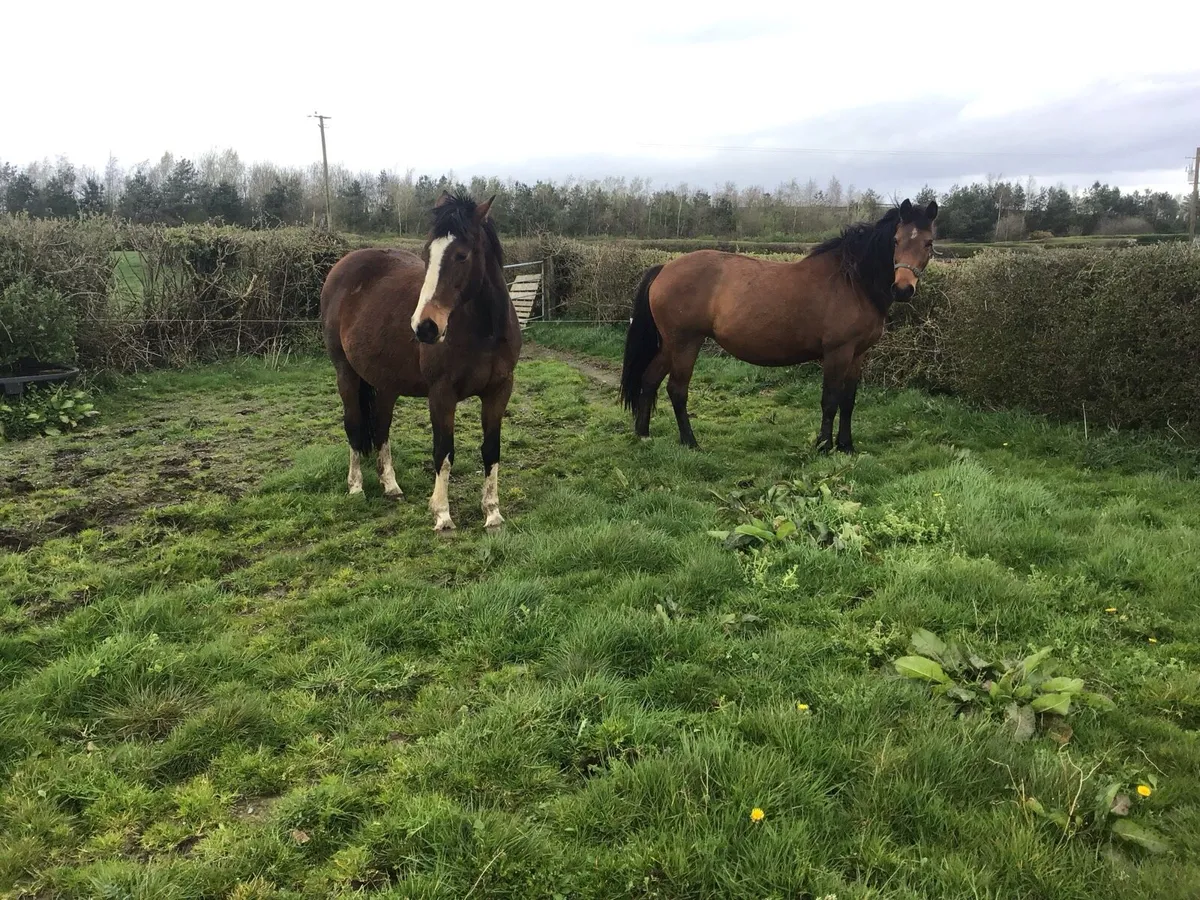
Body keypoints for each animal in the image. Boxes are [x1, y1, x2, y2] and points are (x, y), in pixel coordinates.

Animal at [319, 191, 521, 532]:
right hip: (345, 373)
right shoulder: (441, 394)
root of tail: (342, 267)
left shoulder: (499, 391)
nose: (424, 327)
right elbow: (444, 451)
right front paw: (442, 515)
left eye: (462, 255)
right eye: (427, 254)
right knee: (355, 425)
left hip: (385, 383)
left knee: (381, 428)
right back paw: (356, 487)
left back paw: (391, 486)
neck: (485, 331)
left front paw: (492, 513)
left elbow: (491, 450)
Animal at [619, 198, 938, 454]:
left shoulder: (858, 354)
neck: (853, 281)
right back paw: (690, 442)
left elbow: (848, 401)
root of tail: (665, 268)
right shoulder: (837, 352)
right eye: (895, 241)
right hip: (686, 342)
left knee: (649, 380)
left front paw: (846, 446)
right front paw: (824, 446)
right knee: (677, 389)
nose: (903, 289)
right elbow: (830, 400)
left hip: (670, 344)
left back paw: (643, 434)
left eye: (928, 243)